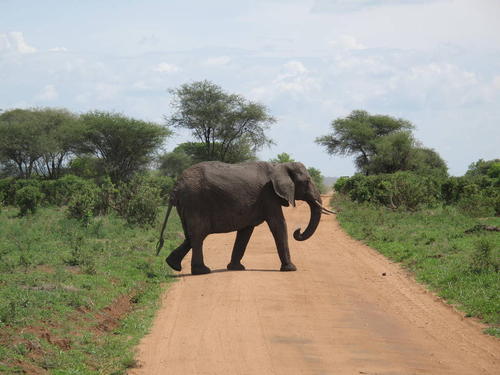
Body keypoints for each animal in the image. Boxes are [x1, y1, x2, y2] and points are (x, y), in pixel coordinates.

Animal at [154, 162, 334, 276]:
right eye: (307, 181)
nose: (298, 231)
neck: (279, 165)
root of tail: (176, 187)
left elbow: (246, 231)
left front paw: (236, 268)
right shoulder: (269, 196)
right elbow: (278, 225)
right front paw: (291, 269)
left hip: (187, 206)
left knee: (190, 236)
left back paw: (173, 265)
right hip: (195, 202)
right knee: (198, 235)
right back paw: (202, 271)